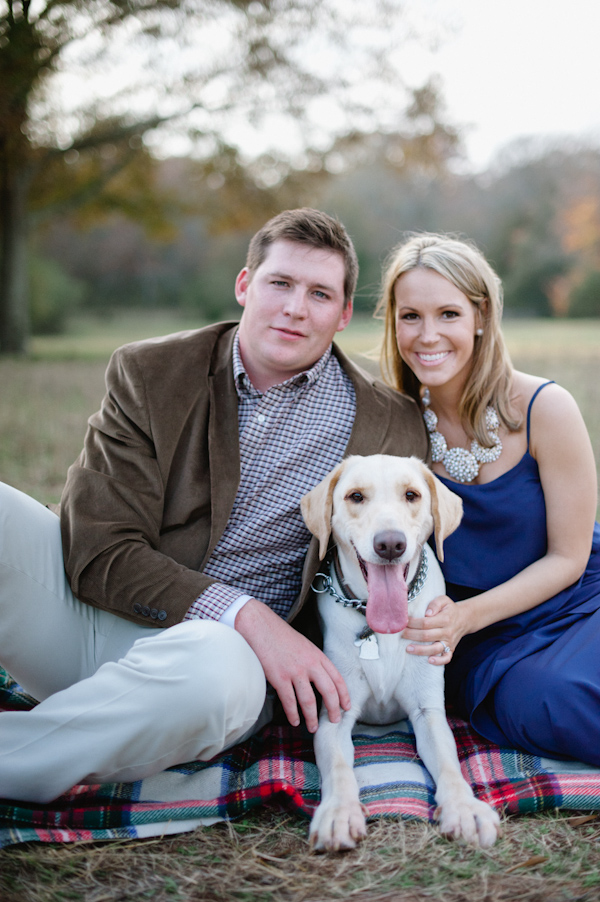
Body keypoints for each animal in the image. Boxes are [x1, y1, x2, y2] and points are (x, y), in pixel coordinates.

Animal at [300, 460, 502, 856]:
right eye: (355, 497)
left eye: (412, 494)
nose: (391, 544)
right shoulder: (334, 713)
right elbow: (338, 768)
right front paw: (339, 813)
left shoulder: (428, 711)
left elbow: (450, 763)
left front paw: (465, 808)